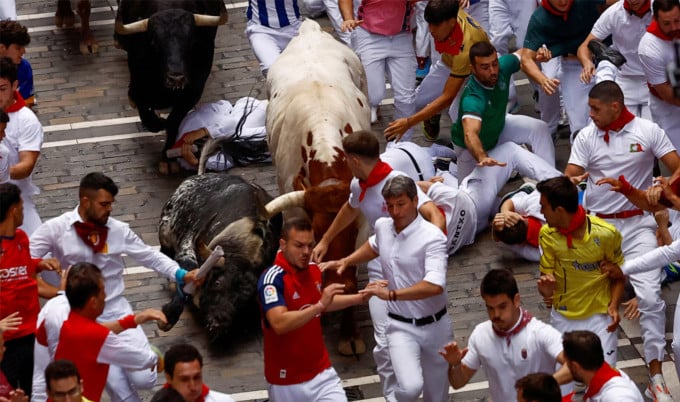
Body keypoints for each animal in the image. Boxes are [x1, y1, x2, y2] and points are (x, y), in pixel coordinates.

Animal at [113, 0, 227, 155]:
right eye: (154, 42)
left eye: (191, 41)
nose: (176, 78)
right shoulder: (139, 85)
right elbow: (146, 114)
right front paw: (157, 122)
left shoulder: (193, 91)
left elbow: (174, 121)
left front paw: (167, 155)